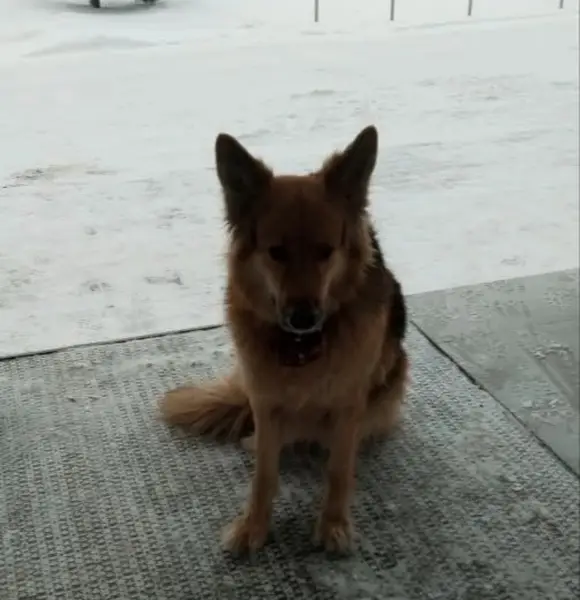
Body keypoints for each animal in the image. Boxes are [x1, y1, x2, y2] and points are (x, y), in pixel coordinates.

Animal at [160, 125, 408, 555]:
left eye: (326, 251)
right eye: (276, 252)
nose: (303, 318)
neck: (301, 349)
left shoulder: (348, 404)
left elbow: (338, 469)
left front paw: (334, 524)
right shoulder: (265, 402)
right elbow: (265, 475)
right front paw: (253, 526)